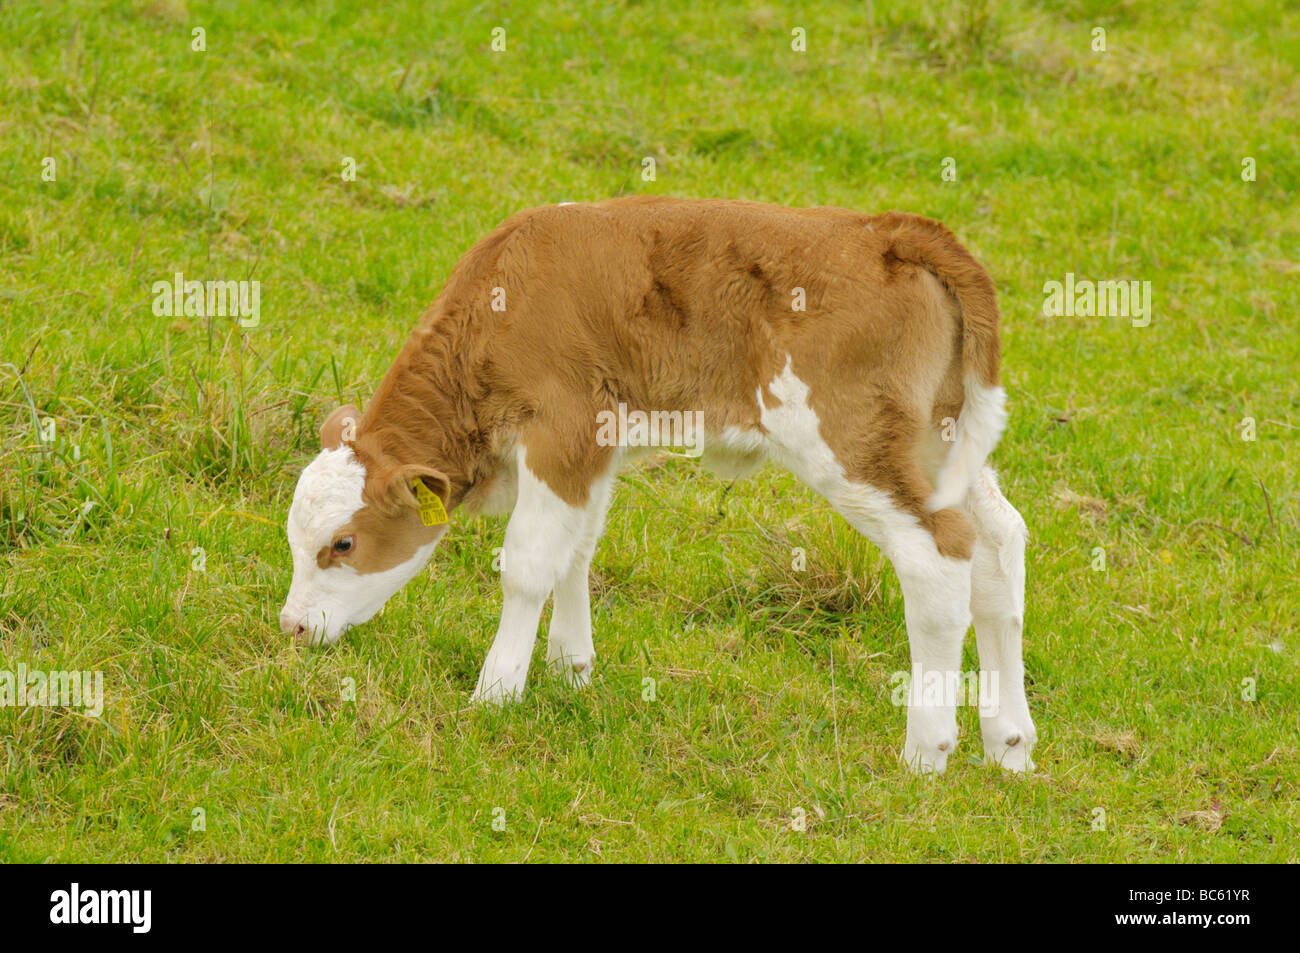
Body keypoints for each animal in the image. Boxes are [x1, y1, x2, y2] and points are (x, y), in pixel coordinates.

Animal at [282, 195, 1034, 774]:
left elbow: (527, 565)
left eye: (343, 543)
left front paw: (496, 692)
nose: (291, 627)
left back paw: (926, 751)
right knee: (998, 544)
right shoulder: (597, 443)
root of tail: (890, 230)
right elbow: (576, 549)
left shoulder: (561, 426)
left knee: (937, 557)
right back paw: (1009, 745)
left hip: (852, 443)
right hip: (940, 442)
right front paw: (571, 669)